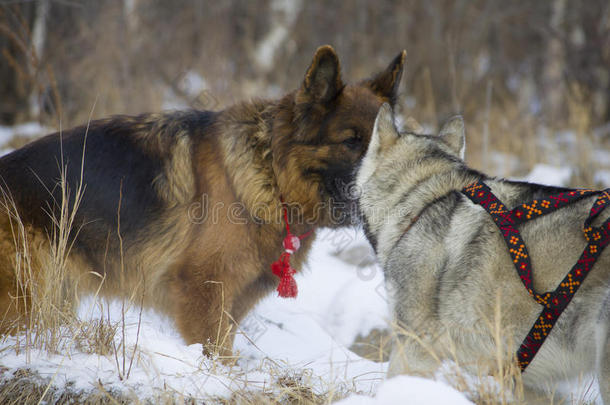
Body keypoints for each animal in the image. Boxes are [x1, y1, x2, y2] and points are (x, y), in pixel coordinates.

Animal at [0, 46, 404, 356]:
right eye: (351, 141)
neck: (270, 172)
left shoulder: (230, 305)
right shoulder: (203, 294)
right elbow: (214, 353)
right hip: (23, 303)